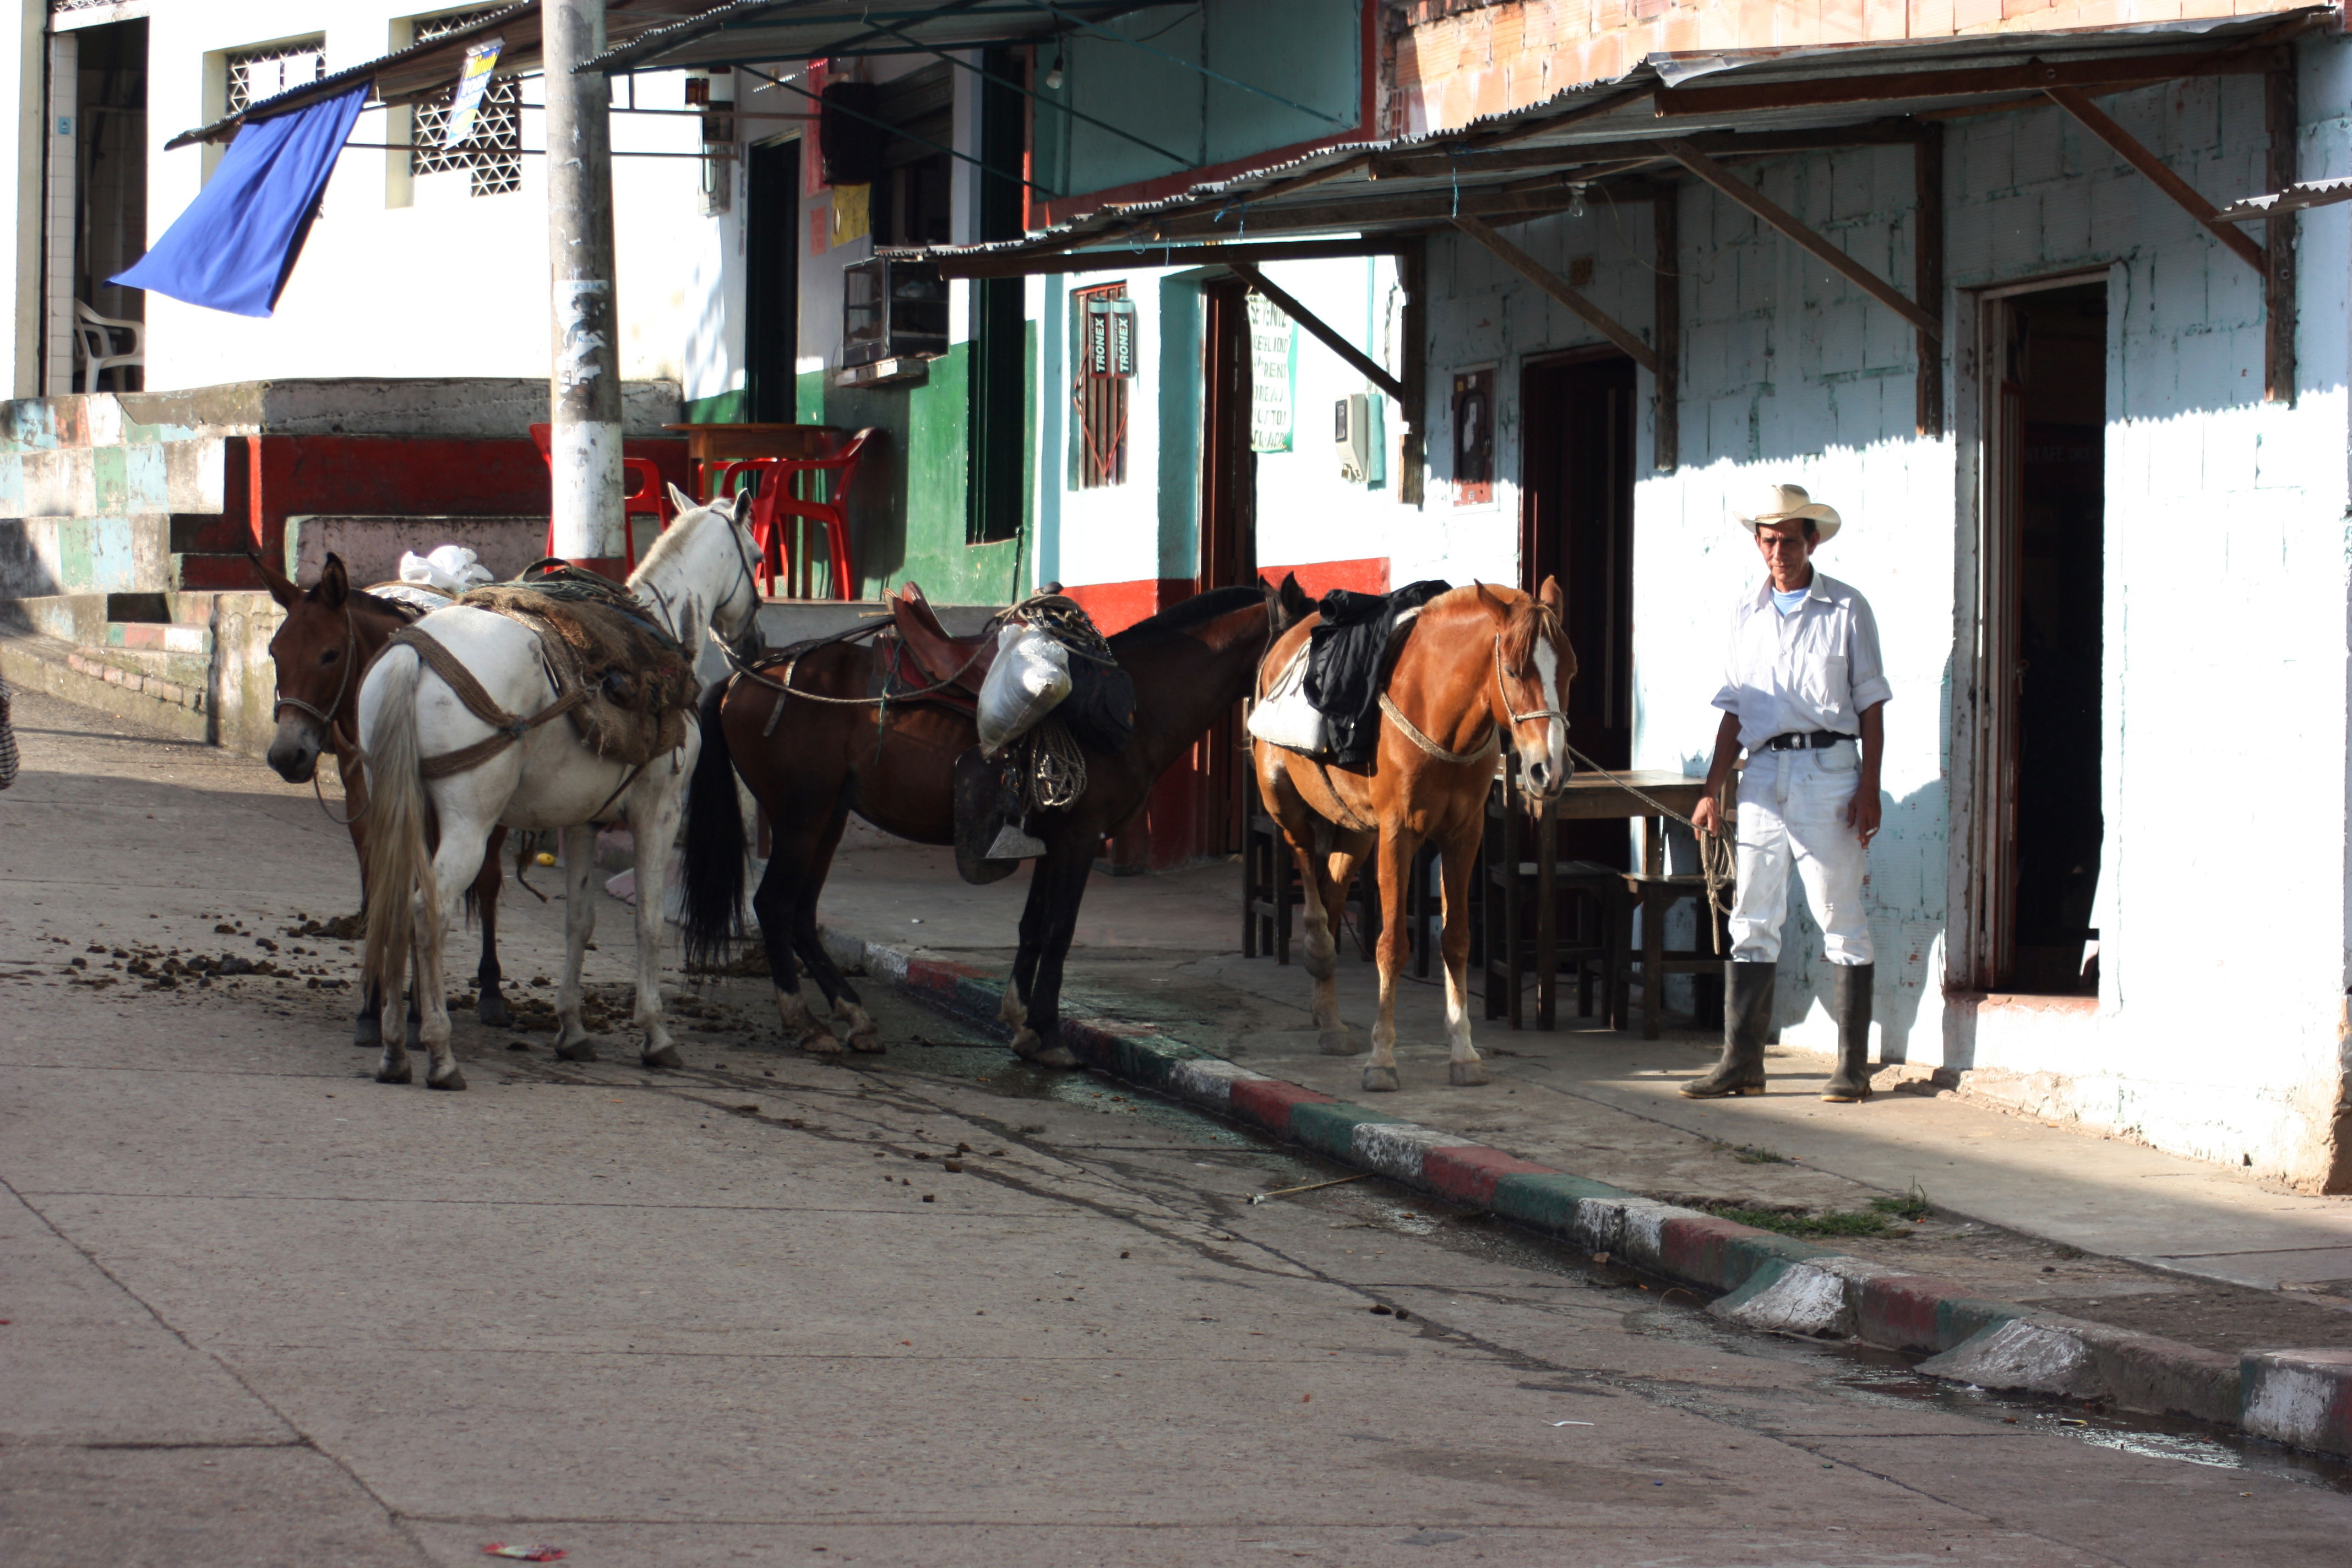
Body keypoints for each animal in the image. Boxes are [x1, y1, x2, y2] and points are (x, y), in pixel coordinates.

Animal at [256, 552, 510, 1043]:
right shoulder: (364, 806)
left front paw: (413, 1008)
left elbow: (420, 894)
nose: (287, 756)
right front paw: (373, 1007)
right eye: (275, 652)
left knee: (489, 882)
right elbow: (379, 889)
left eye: (331, 654)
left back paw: (491, 989)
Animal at [352, 493, 757, 1091]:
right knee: (428, 912)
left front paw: (572, 1029)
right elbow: (648, 922)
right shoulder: (658, 811)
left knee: (395, 904)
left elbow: (579, 921)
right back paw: (440, 1053)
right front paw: (656, 1033)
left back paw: (394, 1050)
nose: (753, 643)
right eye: (758, 554)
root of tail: (414, 653)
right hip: (469, 824)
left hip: (399, 806)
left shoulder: (583, 820)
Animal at [682, 576, 1317, 1067]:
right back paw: (806, 1024)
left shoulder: (1051, 839)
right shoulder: (1079, 839)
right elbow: (1059, 931)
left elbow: (1033, 926)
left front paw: (1021, 1023)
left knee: (801, 914)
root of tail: (741, 680)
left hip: (827, 816)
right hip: (801, 815)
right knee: (774, 906)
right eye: (1315, 649)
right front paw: (1051, 1037)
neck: (1136, 703)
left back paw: (854, 1017)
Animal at [1251, 582, 1580, 1100]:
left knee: (1333, 889)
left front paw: (1463, 1052)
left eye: (1570, 670)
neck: (1439, 711)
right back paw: (1319, 948)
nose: (1550, 770)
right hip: (1285, 801)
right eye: (1512, 670)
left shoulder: (1464, 837)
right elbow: (1391, 945)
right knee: (1306, 863)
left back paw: (1330, 1018)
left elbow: (1458, 940)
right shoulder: (1398, 835)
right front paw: (1382, 1059)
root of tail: (1289, 630)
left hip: (1356, 830)